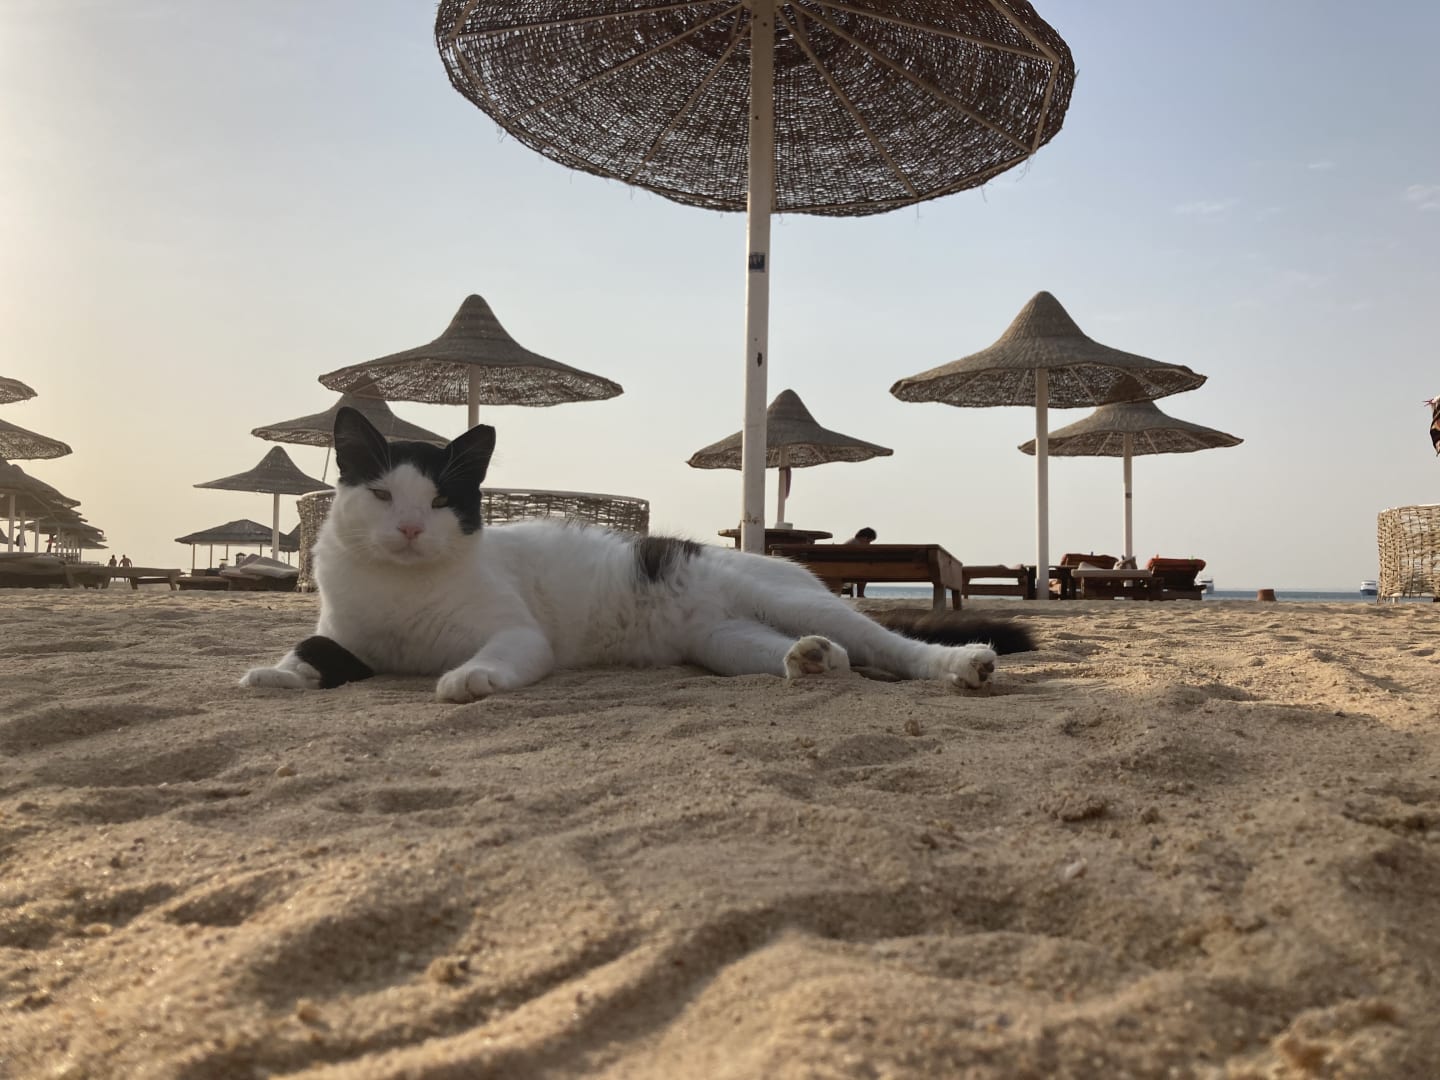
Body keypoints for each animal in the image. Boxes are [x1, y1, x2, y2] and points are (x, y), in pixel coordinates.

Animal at [240, 408, 1033, 702]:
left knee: (890, 646)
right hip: (724, 640)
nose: (407, 530)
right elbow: (311, 651)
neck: (402, 589)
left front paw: (468, 678)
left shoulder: (516, 632)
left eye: (437, 503)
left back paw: (961, 665)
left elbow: (497, 654)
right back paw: (810, 661)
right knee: (828, 654)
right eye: (380, 495)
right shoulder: (347, 635)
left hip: (784, 597)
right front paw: (274, 673)